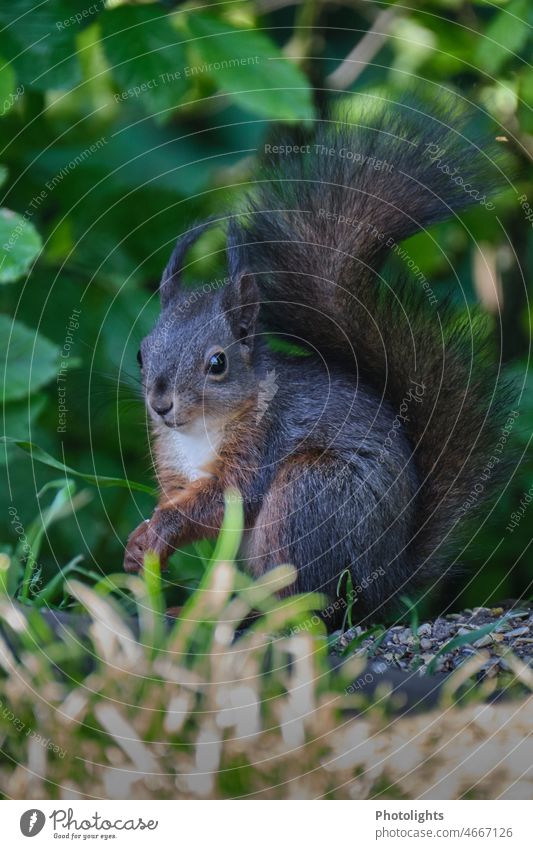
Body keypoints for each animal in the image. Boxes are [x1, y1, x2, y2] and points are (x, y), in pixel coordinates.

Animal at [122, 99, 510, 628]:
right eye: (142, 352)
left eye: (217, 363)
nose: (161, 405)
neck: (202, 429)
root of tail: (385, 584)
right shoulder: (175, 464)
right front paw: (140, 543)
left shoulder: (263, 443)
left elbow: (225, 500)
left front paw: (161, 529)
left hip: (309, 496)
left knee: (306, 603)